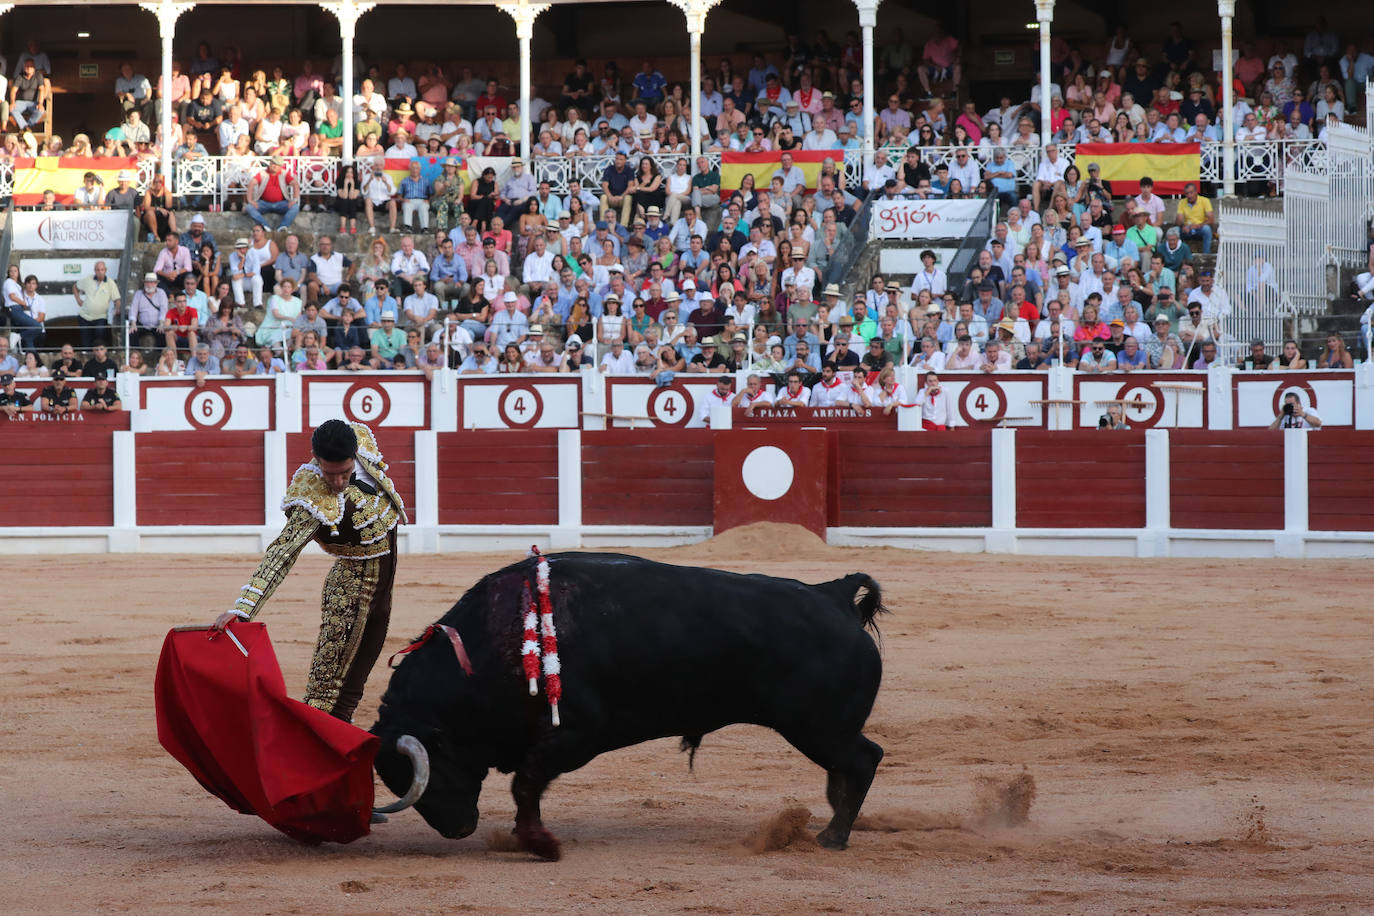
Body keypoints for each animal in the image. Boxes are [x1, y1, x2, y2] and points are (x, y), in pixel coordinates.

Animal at [370, 552, 884, 862]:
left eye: (438, 766)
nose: (457, 829)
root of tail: (832, 594)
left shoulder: (576, 735)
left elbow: (525, 784)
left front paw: (541, 843)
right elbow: (526, 786)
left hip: (818, 727)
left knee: (863, 759)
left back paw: (833, 838)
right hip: (822, 729)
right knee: (844, 770)